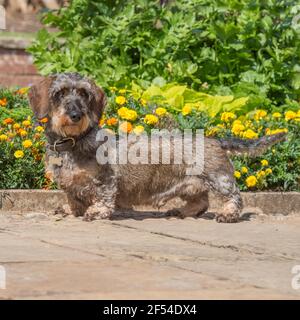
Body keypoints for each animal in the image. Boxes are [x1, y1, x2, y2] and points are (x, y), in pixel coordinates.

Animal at [28, 72, 286, 222]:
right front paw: (71, 209)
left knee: (234, 196)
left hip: (218, 178)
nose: (75, 115)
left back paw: (227, 214)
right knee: (201, 202)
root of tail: (214, 139)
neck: (73, 142)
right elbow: (74, 199)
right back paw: (182, 211)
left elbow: (103, 196)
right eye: (60, 93)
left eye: (84, 94)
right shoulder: (69, 185)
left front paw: (96, 211)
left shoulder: (105, 180)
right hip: (190, 185)